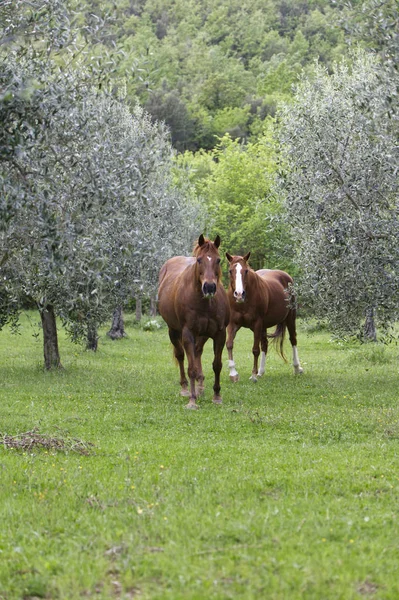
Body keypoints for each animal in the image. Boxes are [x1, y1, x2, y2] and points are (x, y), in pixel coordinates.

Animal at [158, 234, 230, 408]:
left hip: (202, 335)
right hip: (173, 331)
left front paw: (217, 396)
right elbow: (190, 367)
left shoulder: (219, 334)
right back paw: (185, 388)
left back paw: (200, 386)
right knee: (180, 355)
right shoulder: (188, 333)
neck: (204, 303)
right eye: (199, 260)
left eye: (218, 260)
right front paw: (192, 400)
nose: (209, 287)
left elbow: (217, 365)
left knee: (197, 352)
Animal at [225, 251, 304, 382]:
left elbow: (255, 349)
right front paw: (233, 374)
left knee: (293, 339)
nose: (239, 294)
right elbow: (229, 344)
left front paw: (253, 375)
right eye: (230, 271)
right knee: (265, 344)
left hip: (290, 318)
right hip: (264, 326)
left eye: (246, 271)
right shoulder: (232, 324)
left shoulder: (257, 323)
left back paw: (297, 368)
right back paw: (260, 372)